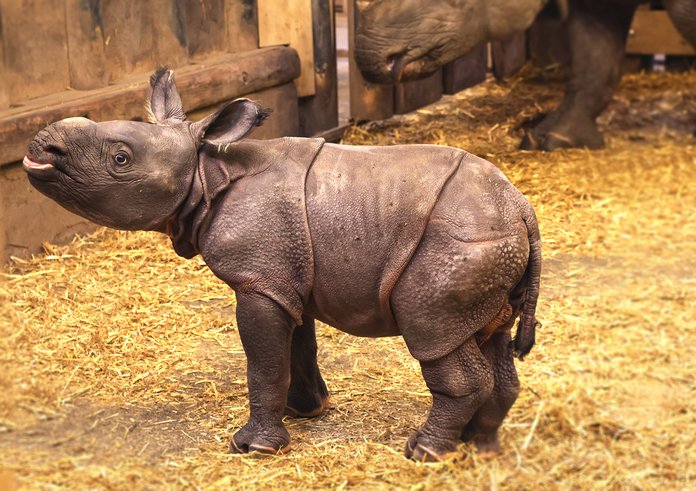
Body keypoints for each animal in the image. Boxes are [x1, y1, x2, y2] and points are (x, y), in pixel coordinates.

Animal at [23, 69, 541, 461]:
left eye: (120, 158)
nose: (39, 146)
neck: (207, 172)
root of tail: (521, 209)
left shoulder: (257, 280)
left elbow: (264, 361)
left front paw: (253, 447)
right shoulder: (284, 276)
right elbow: (296, 347)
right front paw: (306, 412)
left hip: (457, 244)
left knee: (435, 336)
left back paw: (423, 453)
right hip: (489, 243)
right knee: (488, 338)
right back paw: (479, 448)